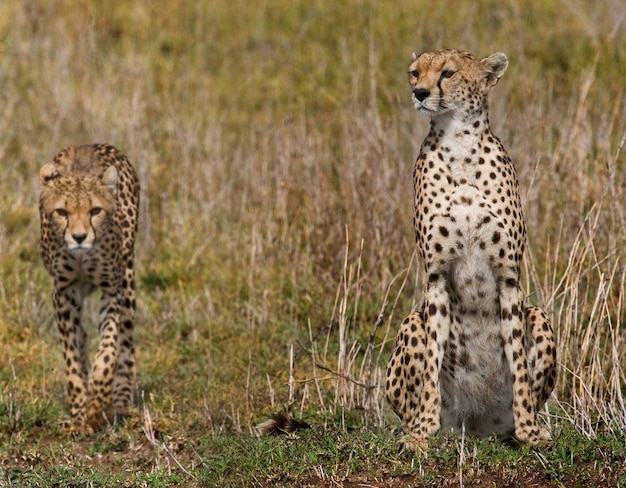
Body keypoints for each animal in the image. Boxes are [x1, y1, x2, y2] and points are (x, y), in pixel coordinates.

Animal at [40, 143, 140, 432]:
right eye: (62, 213)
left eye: (95, 211)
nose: (79, 237)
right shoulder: (63, 291)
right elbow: (72, 352)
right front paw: (79, 407)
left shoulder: (112, 289)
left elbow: (107, 350)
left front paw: (96, 405)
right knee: (82, 335)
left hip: (127, 277)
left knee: (126, 341)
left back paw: (120, 400)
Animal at [386, 50, 556, 454]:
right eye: (415, 73)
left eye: (448, 73)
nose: (419, 93)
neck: (458, 143)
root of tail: (477, 426)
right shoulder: (435, 279)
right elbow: (431, 363)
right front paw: (421, 433)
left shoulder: (509, 279)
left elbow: (519, 365)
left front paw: (530, 431)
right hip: (411, 321)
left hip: (539, 315)